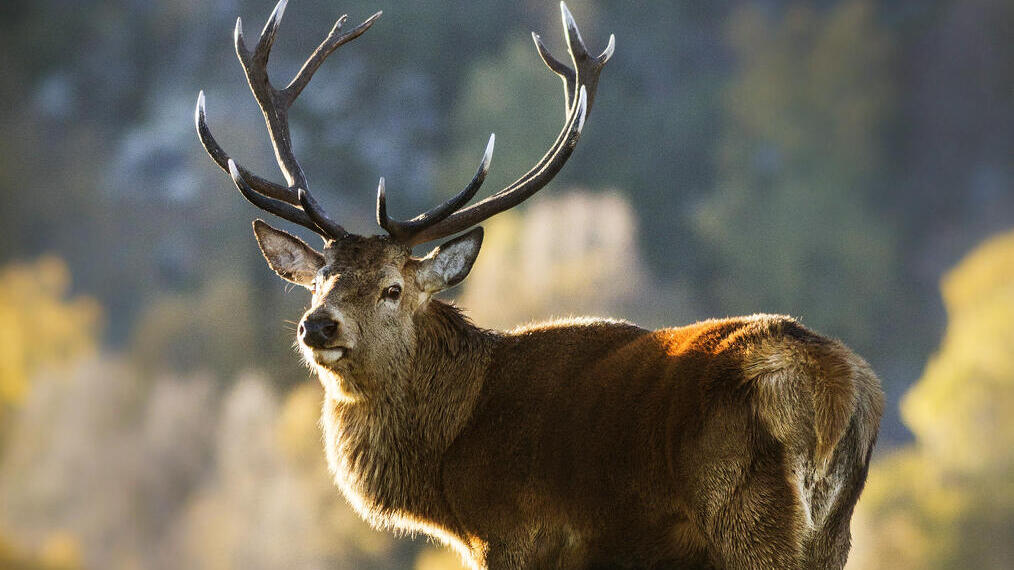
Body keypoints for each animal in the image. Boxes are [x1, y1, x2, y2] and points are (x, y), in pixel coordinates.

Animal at [195, 2, 884, 568]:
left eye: (393, 288)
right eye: (320, 281)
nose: (319, 325)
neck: (448, 462)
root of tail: (837, 392)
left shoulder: (516, 534)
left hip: (748, 518)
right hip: (831, 536)